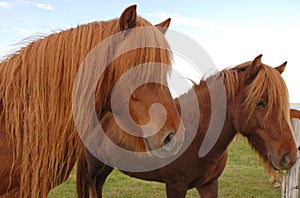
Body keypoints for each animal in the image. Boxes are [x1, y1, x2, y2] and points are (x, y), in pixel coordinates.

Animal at [77, 54, 298, 198]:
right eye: (261, 103)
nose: (290, 156)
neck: (197, 135)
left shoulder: (209, 185)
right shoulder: (176, 186)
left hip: (106, 166)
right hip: (93, 167)